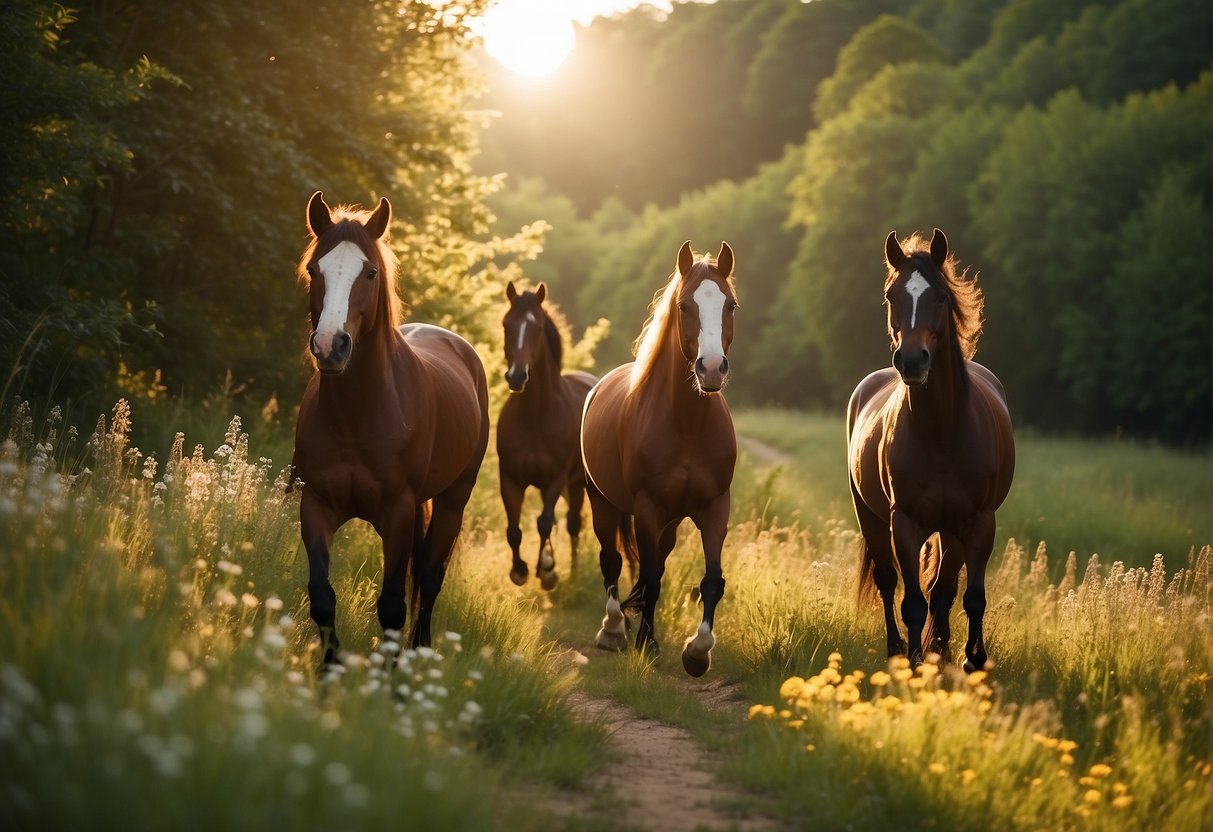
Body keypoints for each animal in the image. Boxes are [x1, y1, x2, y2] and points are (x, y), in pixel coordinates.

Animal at [291, 191, 489, 664]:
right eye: (314, 270)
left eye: (370, 272)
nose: (330, 346)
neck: (358, 413)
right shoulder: (316, 506)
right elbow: (322, 596)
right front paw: (330, 671)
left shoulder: (397, 513)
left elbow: (394, 605)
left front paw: (393, 678)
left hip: (453, 500)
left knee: (431, 577)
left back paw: (420, 653)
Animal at [497, 281, 597, 589]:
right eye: (506, 324)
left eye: (538, 328)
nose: (516, 377)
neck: (536, 417)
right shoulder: (510, 479)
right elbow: (514, 529)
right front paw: (520, 571)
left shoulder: (556, 479)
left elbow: (543, 522)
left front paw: (548, 572)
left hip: (577, 485)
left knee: (572, 525)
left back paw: (572, 574)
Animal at [581, 240, 738, 677]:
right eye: (684, 306)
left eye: (731, 305)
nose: (712, 368)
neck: (686, 424)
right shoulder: (647, 508)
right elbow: (648, 578)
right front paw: (646, 644)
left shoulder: (714, 507)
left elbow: (711, 580)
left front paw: (698, 652)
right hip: (602, 502)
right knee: (612, 560)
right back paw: (614, 630)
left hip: (669, 521)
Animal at [847, 228, 1014, 671]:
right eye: (892, 296)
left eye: (940, 296)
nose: (911, 360)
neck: (941, 431)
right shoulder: (903, 523)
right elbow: (912, 602)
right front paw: (914, 662)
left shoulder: (978, 522)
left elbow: (970, 596)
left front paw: (973, 660)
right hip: (871, 518)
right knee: (888, 582)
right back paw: (896, 649)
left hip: (951, 531)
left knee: (945, 587)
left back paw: (943, 648)